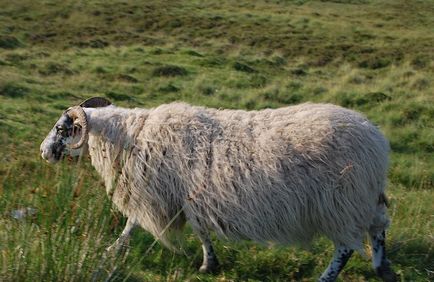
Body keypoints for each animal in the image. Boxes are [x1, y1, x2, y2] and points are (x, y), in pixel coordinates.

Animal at [39, 97, 396, 282]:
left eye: (61, 128)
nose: (43, 152)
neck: (129, 135)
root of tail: (376, 139)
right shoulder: (183, 196)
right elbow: (143, 225)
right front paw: (116, 249)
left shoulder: (165, 193)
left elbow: (144, 223)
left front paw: (207, 264)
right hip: (363, 197)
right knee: (379, 227)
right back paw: (382, 268)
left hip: (340, 202)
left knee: (345, 247)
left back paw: (326, 277)